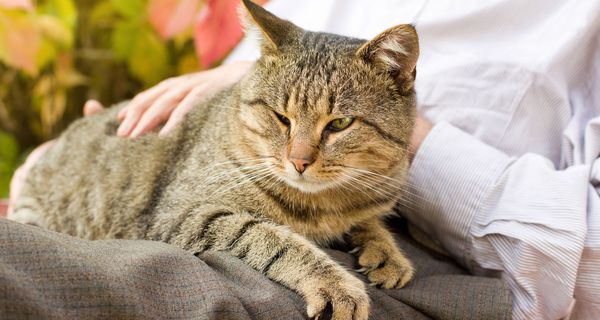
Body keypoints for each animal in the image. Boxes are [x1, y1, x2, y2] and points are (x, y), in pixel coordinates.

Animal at [11, 1, 420, 318]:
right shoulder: (185, 213)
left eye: (339, 124)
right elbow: (273, 238)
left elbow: (369, 221)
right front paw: (336, 284)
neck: (325, 203)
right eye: (281, 117)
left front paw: (385, 250)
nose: (299, 162)